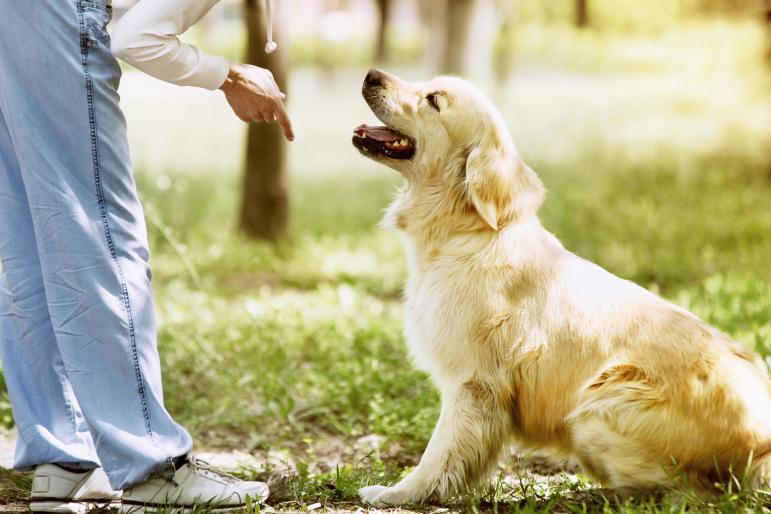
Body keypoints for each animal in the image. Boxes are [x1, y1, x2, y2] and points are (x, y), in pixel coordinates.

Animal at [352, 68, 771, 504]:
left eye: (433, 100)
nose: (371, 74)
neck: (468, 230)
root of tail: (761, 448)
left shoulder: (472, 382)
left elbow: (440, 453)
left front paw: (397, 493)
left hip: (597, 407)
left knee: (687, 491)